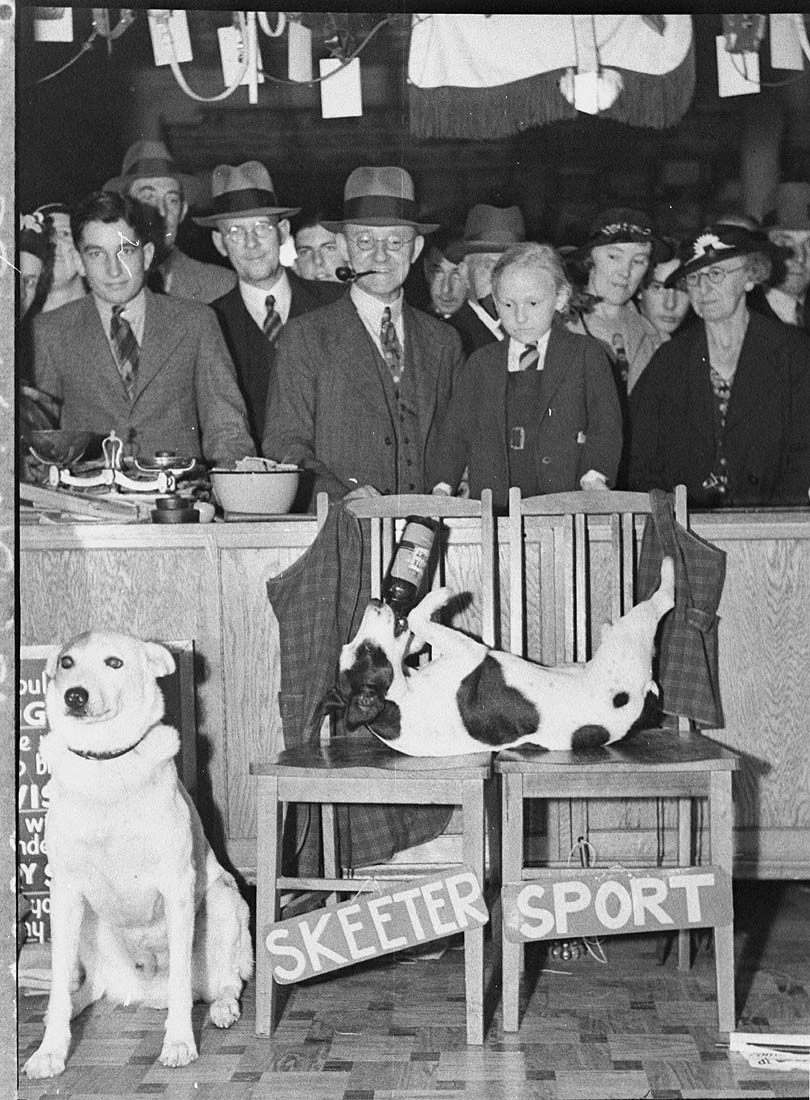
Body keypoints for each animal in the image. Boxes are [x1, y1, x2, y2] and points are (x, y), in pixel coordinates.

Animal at [24, 633, 253, 1078]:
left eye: (114, 662)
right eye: (66, 662)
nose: (75, 695)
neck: (103, 768)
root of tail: (145, 991)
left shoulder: (178, 887)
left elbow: (180, 980)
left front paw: (179, 1042)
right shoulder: (65, 894)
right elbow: (59, 985)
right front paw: (49, 1051)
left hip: (223, 900)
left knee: (228, 981)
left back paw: (222, 1007)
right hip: (87, 924)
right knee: (88, 988)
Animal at [332, 558, 673, 756]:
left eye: (356, 648)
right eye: (367, 651)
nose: (375, 601)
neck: (399, 702)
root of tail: (645, 706)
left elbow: (414, 632)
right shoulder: (471, 651)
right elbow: (417, 617)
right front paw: (437, 596)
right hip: (631, 637)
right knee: (662, 601)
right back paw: (670, 566)